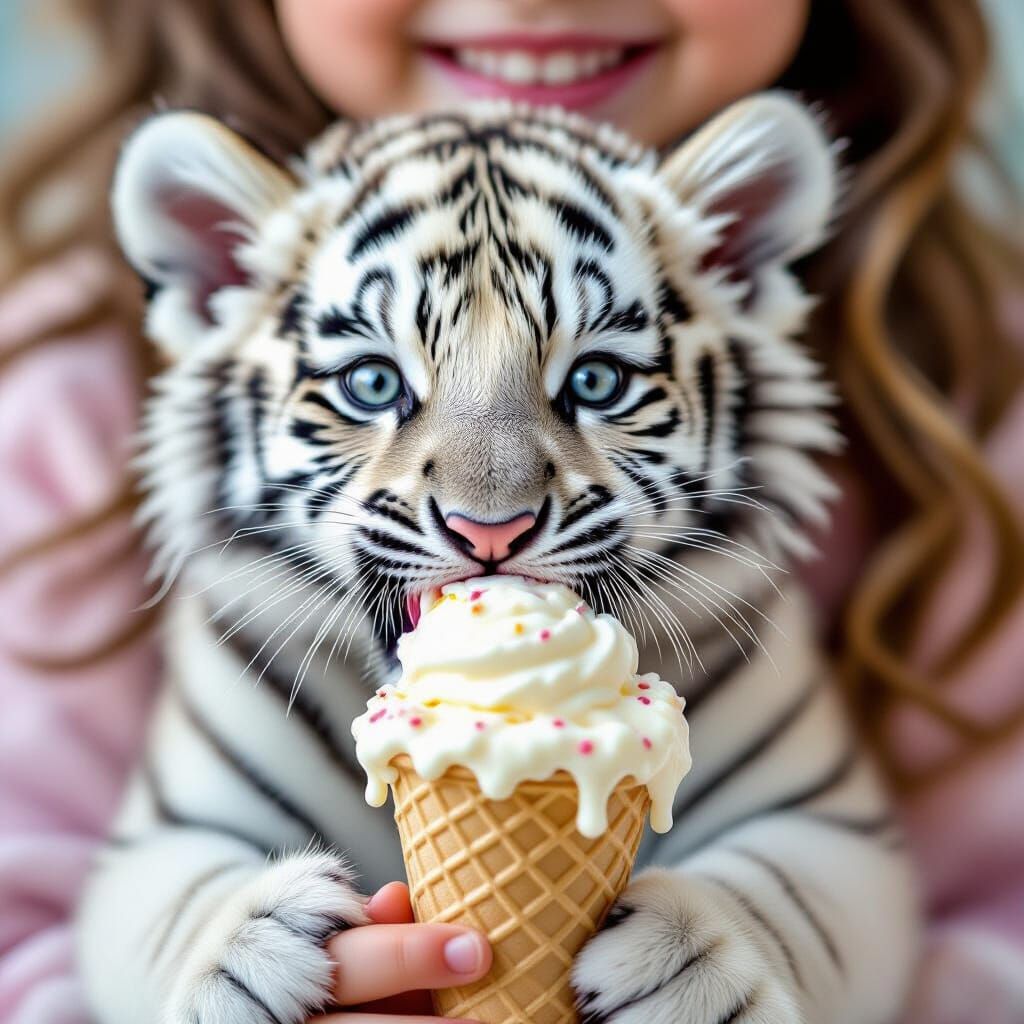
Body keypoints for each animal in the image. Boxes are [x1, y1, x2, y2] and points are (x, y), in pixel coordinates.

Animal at [74, 95, 919, 1024]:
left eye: (595, 382)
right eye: (373, 384)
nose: (490, 531)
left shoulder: (831, 829)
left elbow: (781, 895)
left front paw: (690, 963)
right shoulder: (161, 834)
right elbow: (177, 902)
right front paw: (250, 950)